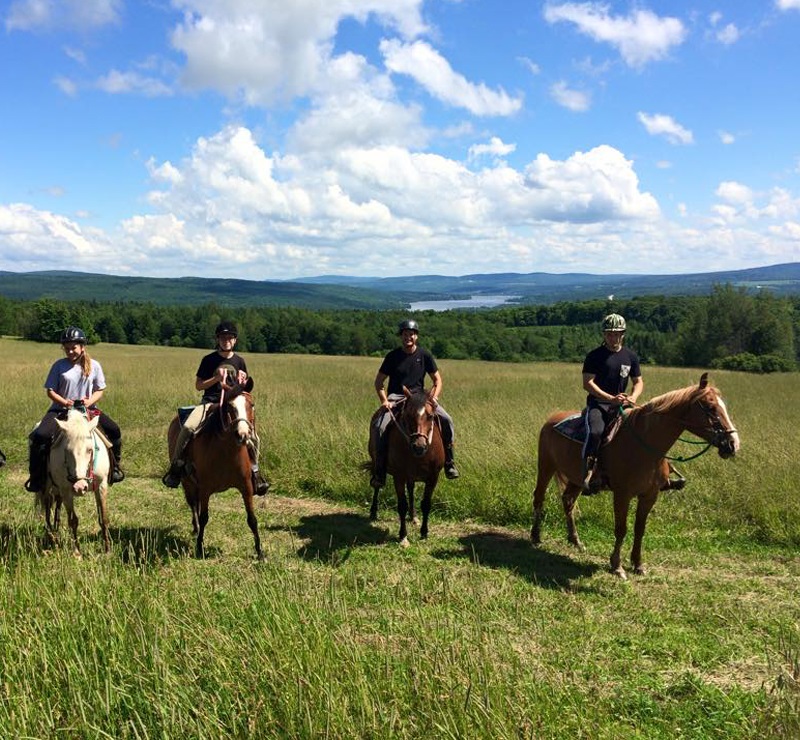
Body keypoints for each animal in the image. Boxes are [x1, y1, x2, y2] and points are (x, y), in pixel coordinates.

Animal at [36, 410, 110, 556]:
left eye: (90, 450)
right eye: (67, 450)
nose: (79, 487)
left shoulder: (101, 485)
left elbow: (103, 517)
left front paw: (107, 550)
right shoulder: (66, 491)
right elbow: (73, 521)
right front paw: (77, 553)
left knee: (56, 507)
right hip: (48, 488)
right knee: (47, 508)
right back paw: (52, 537)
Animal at [166, 384, 266, 556]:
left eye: (251, 405)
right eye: (230, 407)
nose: (243, 434)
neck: (227, 452)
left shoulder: (246, 487)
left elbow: (252, 519)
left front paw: (260, 552)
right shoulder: (205, 488)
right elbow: (204, 517)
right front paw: (199, 548)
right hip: (187, 482)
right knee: (193, 504)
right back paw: (196, 529)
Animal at [368, 384, 444, 548]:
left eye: (430, 416)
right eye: (408, 416)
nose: (419, 447)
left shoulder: (433, 477)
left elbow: (426, 504)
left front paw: (424, 532)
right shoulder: (399, 476)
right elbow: (401, 506)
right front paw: (403, 536)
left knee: (411, 489)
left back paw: (413, 516)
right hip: (378, 465)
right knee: (377, 485)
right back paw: (373, 511)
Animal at [528, 376, 740, 580]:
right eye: (711, 407)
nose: (733, 444)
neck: (644, 446)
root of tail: (552, 419)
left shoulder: (650, 495)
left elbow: (640, 528)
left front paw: (638, 564)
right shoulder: (622, 494)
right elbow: (621, 528)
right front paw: (617, 566)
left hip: (577, 479)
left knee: (568, 501)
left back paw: (576, 541)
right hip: (546, 466)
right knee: (539, 497)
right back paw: (536, 536)